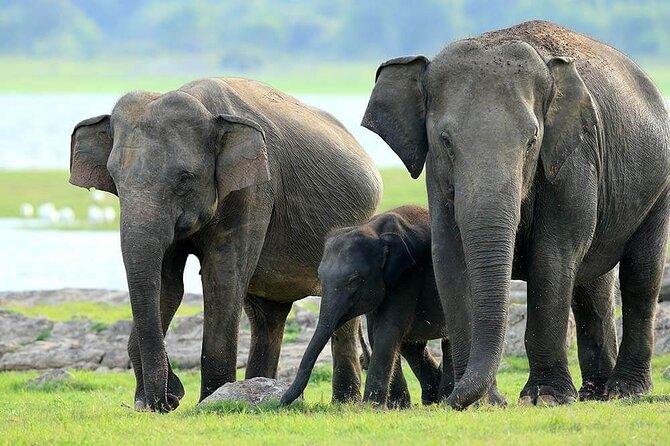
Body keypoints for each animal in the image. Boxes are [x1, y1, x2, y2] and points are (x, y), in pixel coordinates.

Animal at [69, 77, 382, 412]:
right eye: (114, 178)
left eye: (184, 178)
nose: (167, 399)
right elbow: (167, 285)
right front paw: (156, 401)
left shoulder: (254, 189)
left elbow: (222, 279)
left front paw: (210, 400)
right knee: (267, 315)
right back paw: (263, 387)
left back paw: (344, 403)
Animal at [281, 206, 505, 408]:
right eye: (320, 277)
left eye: (354, 280)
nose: (282, 401)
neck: (373, 229)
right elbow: (376, 333)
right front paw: (397, 405)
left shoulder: (408, 276)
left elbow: (387, 330)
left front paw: (371, 407)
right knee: (412, 346)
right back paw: (430, 398)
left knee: (445, 339)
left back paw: (442, 397)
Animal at [362, 20, 670, 409]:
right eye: (445, 141)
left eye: (531, 140)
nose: (442, 400)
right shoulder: (437, 179)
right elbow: (450, 260)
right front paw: (483, 402)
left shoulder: (572, 161)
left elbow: (552, 260)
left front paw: (545, 398)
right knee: (593, 286)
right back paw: (595, 393)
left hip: (658, 188)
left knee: (640, 276)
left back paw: (624, 391)